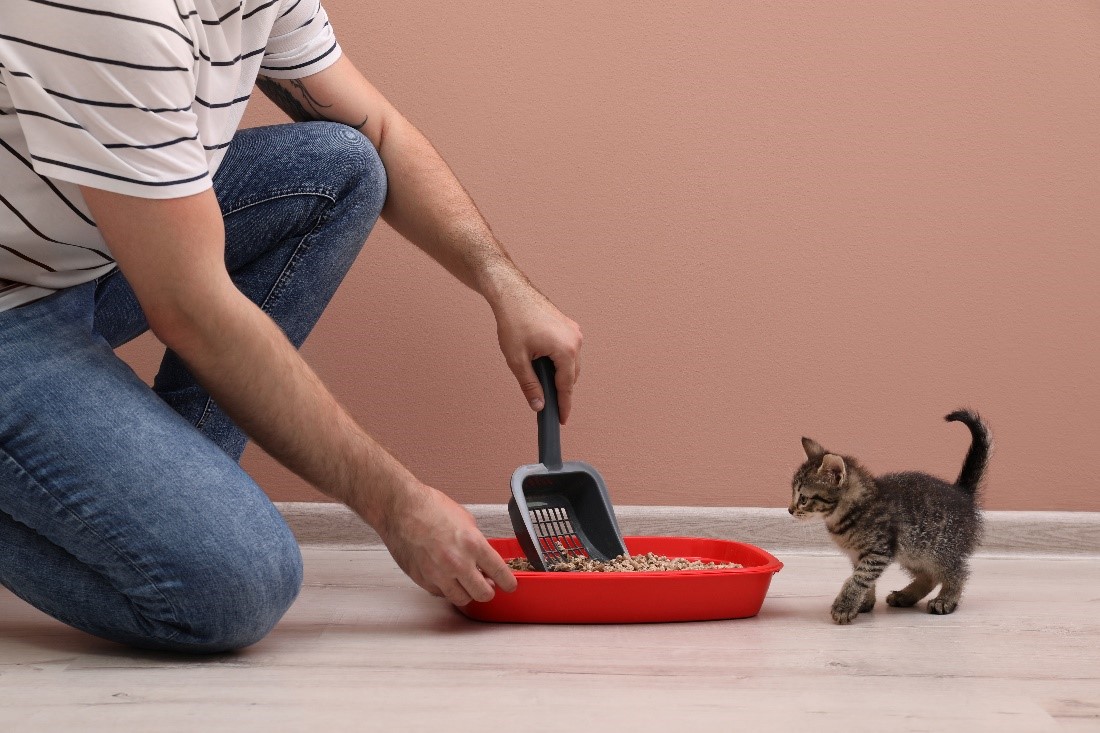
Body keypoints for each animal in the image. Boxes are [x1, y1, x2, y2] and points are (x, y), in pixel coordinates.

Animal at [792, 407, 990, 620]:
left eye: (803, 499)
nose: (790, 510)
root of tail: (962, 493)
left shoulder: (878, 551)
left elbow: (858, 579)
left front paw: (844, 606)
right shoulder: (858, 555)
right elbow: (862, 578)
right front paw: (864, 603)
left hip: (940, 550)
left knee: (957, 572)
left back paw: (945, 599)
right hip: (914, 552)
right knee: (929, 576)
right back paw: (906, 596)